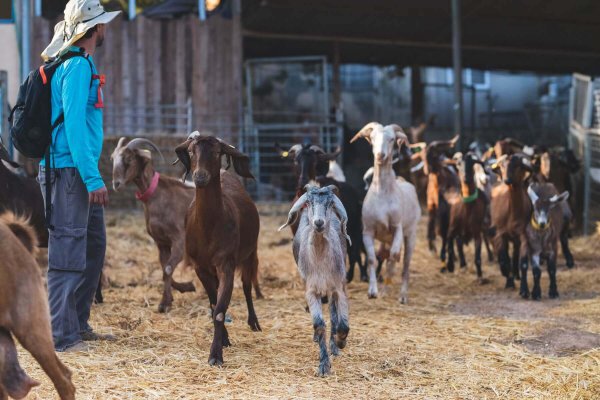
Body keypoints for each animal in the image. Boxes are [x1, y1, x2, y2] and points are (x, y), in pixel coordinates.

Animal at [110, 138, 197, 312]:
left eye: (129, 158)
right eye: (113, 158)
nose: (116, 184)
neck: (157, 196)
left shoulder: (179, 239)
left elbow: (168, 269)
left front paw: (164, 304)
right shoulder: (161, 242)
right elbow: (164, 269)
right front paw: (182, 290)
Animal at [171, 131, 260, 366]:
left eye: (218, 152)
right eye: (191, 151)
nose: (200, 177)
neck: (209, 227)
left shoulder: (226, 263)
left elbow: (220, 310)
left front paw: (215, 355)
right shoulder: (200, 267)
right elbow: (213, 306)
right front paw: (223, 342)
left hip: (250, 253)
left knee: (247, 286)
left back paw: (254, 322)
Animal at [278, 184, 350, 376]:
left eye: (330, 203)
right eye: (309, 202)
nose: (318, 223)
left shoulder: (339, 287)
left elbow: (342, 323)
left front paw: (340, 342)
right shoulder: (310, 290)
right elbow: (318, 324)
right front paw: (323, 365)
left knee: (333, 315)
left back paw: (335, 345)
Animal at [350, 122, 420, 304]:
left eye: (392, 139)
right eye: (372, 137)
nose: (380, 155)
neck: (382, 193)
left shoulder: (397, 227)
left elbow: (394, 256)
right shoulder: (367, 231)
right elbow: (372, 259)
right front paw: (372, 291)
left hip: (411, 234)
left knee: (405, 265)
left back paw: (402, 296)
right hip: (386, 239)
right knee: (385, 256)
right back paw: (385, 290)